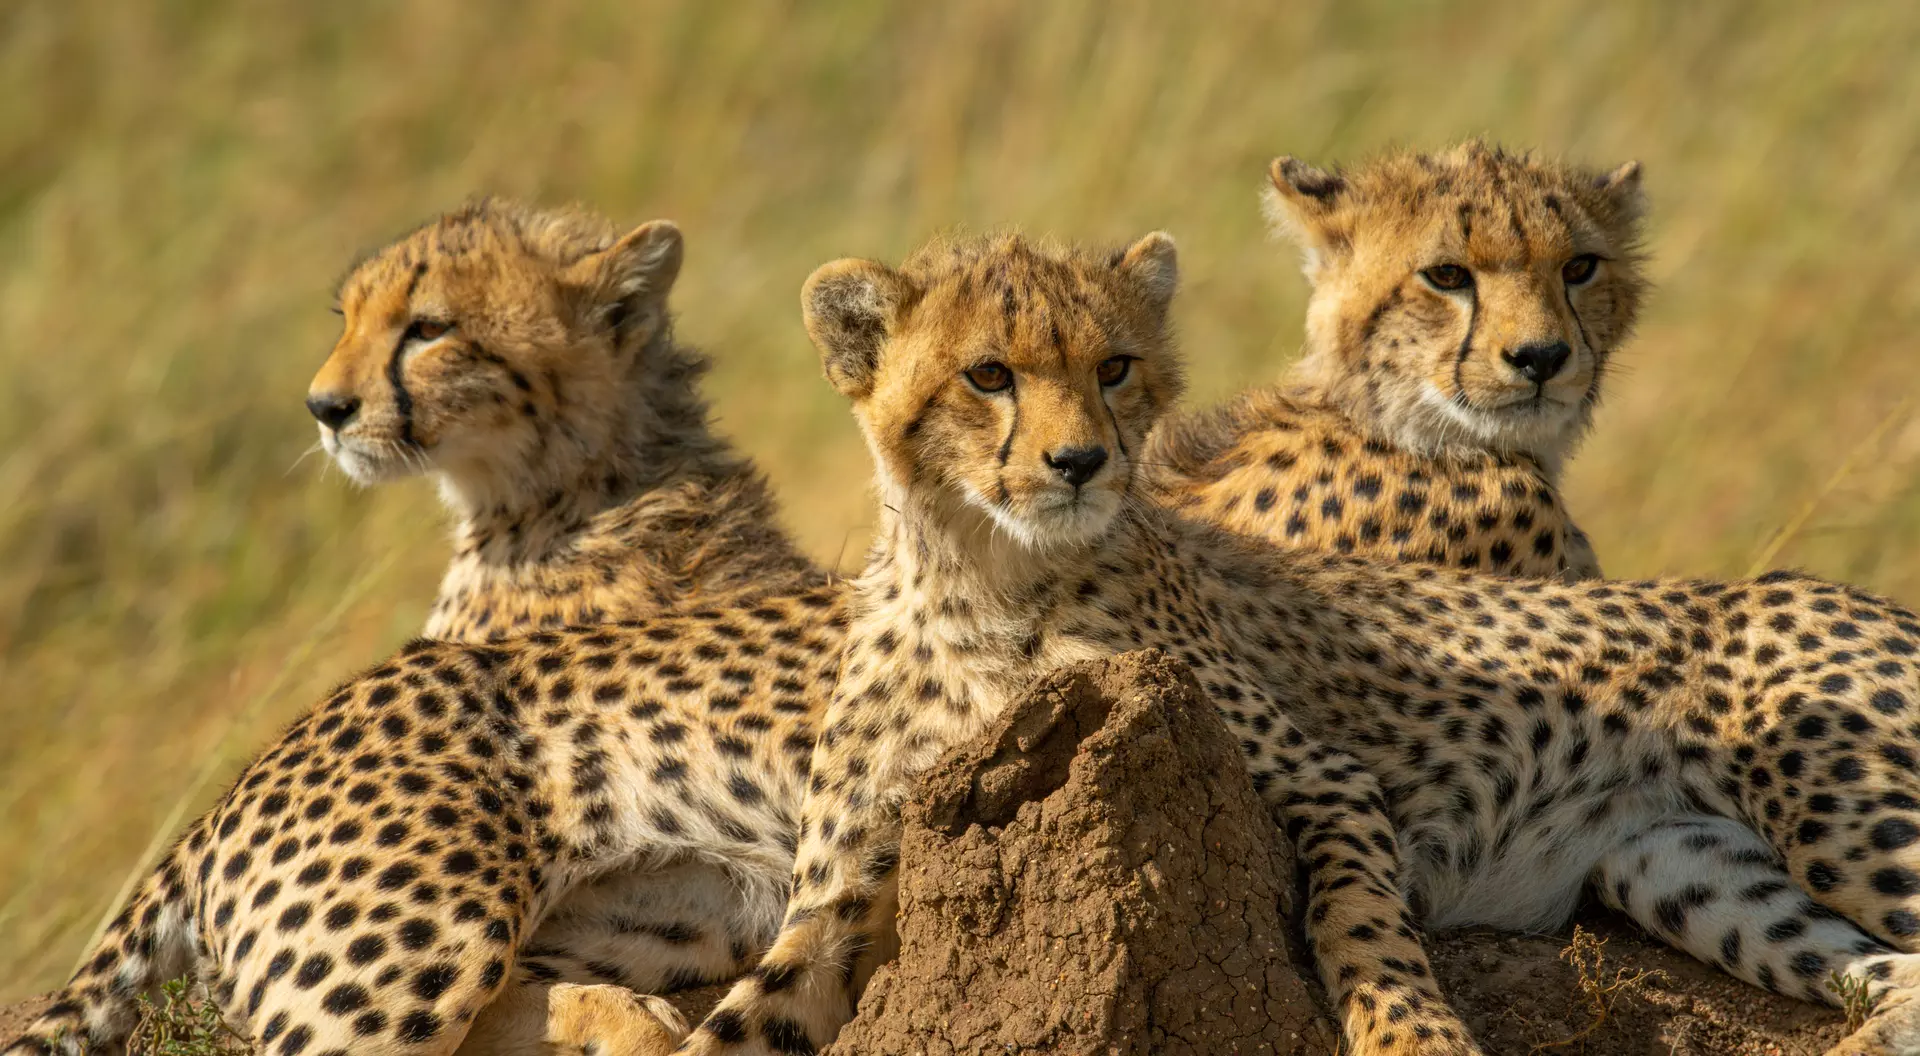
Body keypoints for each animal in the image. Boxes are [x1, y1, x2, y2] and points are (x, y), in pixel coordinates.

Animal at [650, 231, 1920, 1056]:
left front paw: (1414, 1037)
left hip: (1838, 800)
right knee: (1890, 975)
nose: (1081, 462)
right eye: (988, 374)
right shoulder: (841, 898)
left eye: (1114, 368)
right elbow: (741, 1020)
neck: (991, 585)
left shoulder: (1330, 781)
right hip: (1683, 867)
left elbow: (1357, 921)